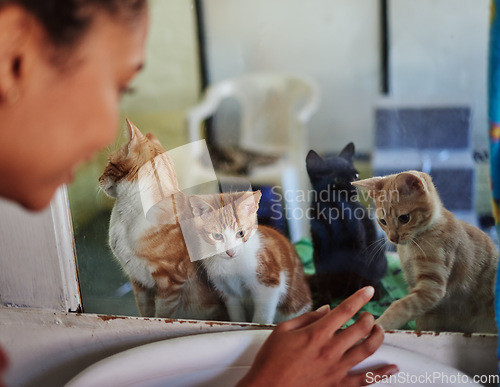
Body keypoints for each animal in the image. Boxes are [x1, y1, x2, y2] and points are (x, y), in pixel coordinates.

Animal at [98, 120, 227, 322]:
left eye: (110, 163)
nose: (98, 179)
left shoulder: (170, 283)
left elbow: (161, 314)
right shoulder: (139, 283)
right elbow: (145, 313)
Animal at [188, 192, 312, 326]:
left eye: (240, 233)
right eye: (217, 236)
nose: (230, 252)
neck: (232, 263)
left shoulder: (270, 283)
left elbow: (262, 316)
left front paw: (259, 324)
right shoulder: (226, 291)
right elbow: (236, 315)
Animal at [304, 142, 386, 306]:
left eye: (356, 176)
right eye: (338, 179)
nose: (354, 187)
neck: (335, 211)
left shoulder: (358, 250)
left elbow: (355, 277)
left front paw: (351, 298)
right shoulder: (319, 250)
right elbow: (322, 278)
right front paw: (323, 301)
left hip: (378, 257)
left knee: (375, 276)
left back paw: (376, 291)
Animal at [354, 171, 498, 334]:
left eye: (404, 218)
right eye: (382, 221)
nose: (393, 238)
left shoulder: (432, 286)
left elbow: (402, 306)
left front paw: (379, 324)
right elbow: (421, 318)